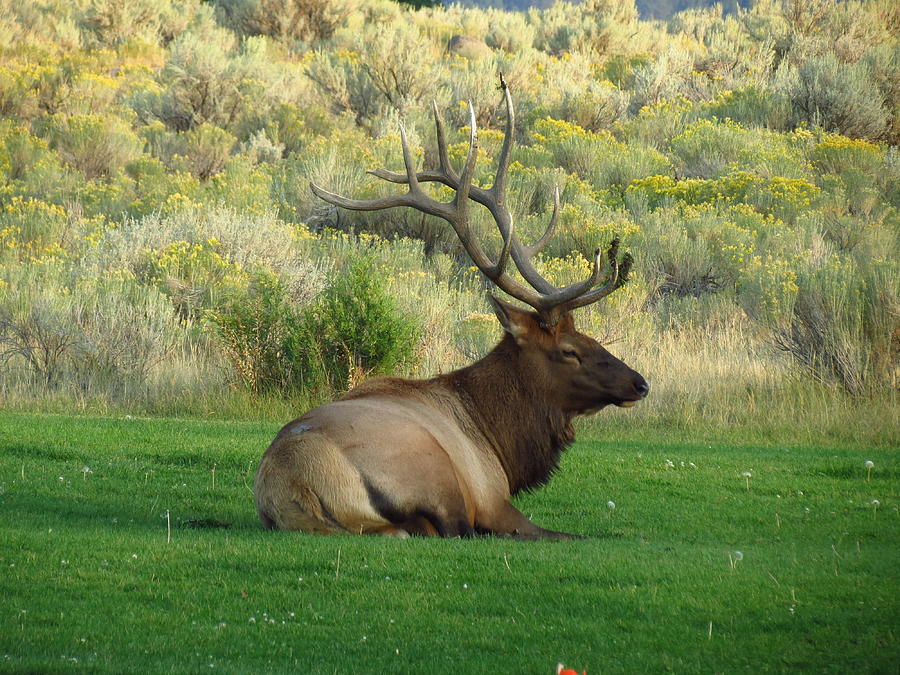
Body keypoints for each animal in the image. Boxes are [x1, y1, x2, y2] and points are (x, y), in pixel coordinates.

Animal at [253, 78, 648, 540]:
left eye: (590, 336)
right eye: (569, 350)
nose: (640, 383)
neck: (498, 439)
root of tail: (294, 482)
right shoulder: (492, 498)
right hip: (433, 473)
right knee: (445, 527)